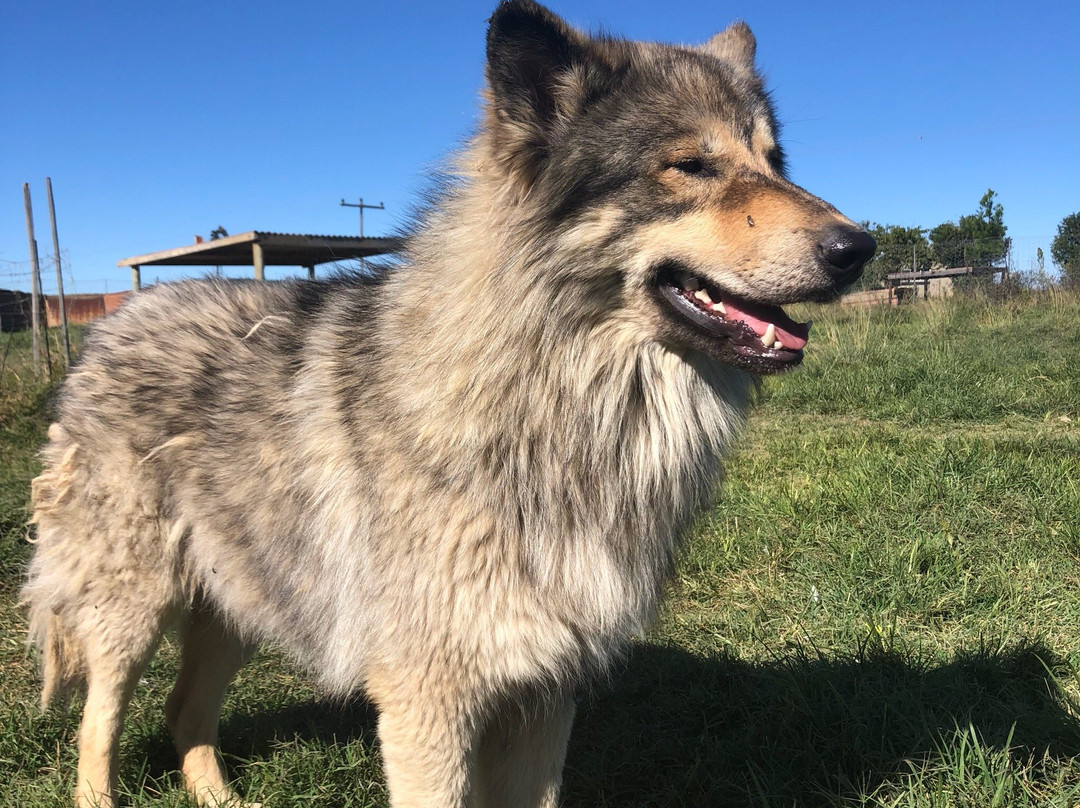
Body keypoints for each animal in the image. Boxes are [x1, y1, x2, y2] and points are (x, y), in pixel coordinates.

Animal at [23, 2, 874, 806]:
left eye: (775, 161)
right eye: (691, 165)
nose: (858, 248)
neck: (560, 399)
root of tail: (107, 330)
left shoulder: (544, 694)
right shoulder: (427, 704)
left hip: (240, 600)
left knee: (184, 712)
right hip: (134, 607)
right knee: (100, 723)